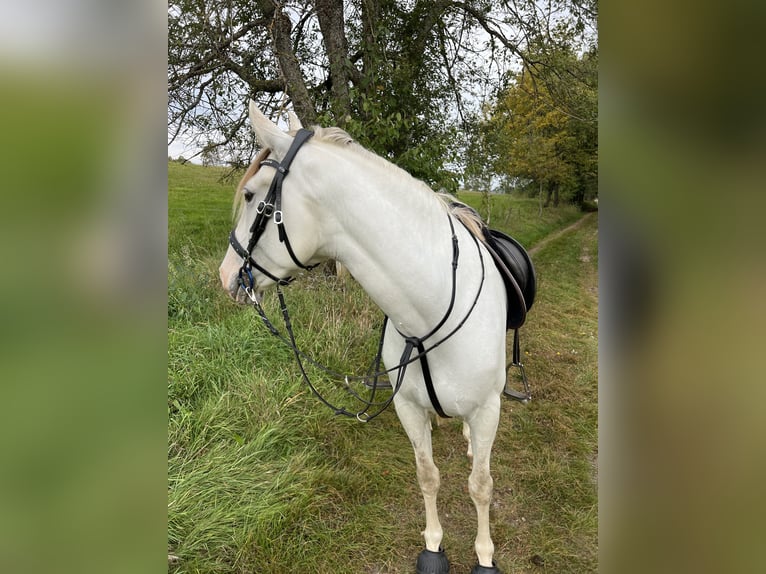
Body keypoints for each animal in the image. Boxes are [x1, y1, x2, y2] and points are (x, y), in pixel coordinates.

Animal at [219, 103, 510, 574]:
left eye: (250, 196)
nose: (226, 275)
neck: (431, 309)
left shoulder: (487, 409)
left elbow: (481, 484)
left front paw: (485, 555)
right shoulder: (408, 408)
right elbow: (427, 475)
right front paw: (433, 544)